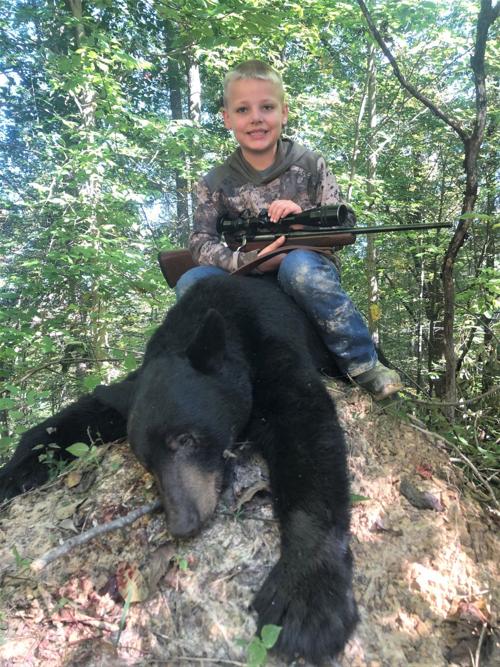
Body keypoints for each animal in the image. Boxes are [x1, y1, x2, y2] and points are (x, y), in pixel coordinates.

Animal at [0, 275, 358, 663]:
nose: (182, 524)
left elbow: (308, 436)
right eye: (146, 461)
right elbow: (86, 411)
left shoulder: (274, 350)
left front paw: (305, 597)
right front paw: (15, 470)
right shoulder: (134, 389)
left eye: (186, 439)